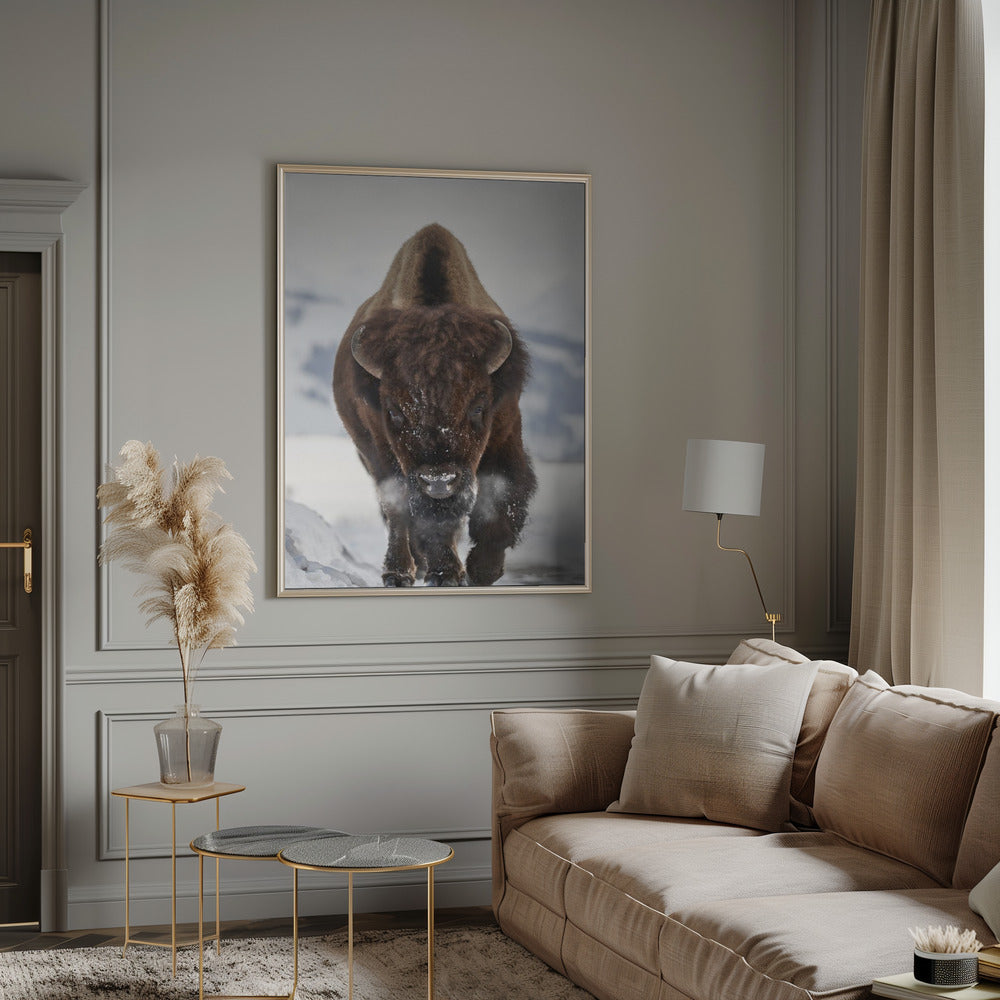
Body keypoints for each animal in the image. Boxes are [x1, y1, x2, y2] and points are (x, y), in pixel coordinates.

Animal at [332, 223, 537, 587]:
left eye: (478, 407)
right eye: (394, 411)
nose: (439, 480)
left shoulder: (505, 429)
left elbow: (502, 495)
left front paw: (483, 570)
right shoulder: (384, 450)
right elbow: (413, 513)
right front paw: (443, 573)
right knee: (397, 512)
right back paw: (401, 572)